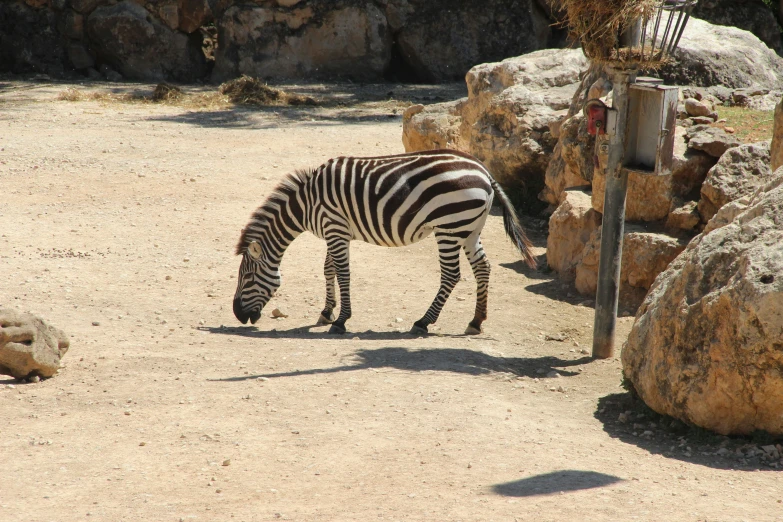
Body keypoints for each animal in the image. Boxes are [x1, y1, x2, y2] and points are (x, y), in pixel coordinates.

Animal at [233, 148, 540, 334]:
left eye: (247, 277)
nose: (237, 315)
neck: (307, 203)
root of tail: (484, 171)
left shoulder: (335, 227)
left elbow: (342, 273)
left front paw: (341, 321)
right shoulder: (336, 230)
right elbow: (328, 269)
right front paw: (326, 312)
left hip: (449, 228)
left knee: (452, 275)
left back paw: (423, 322)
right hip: (469, 227)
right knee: (483, 268)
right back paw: (476, 321)